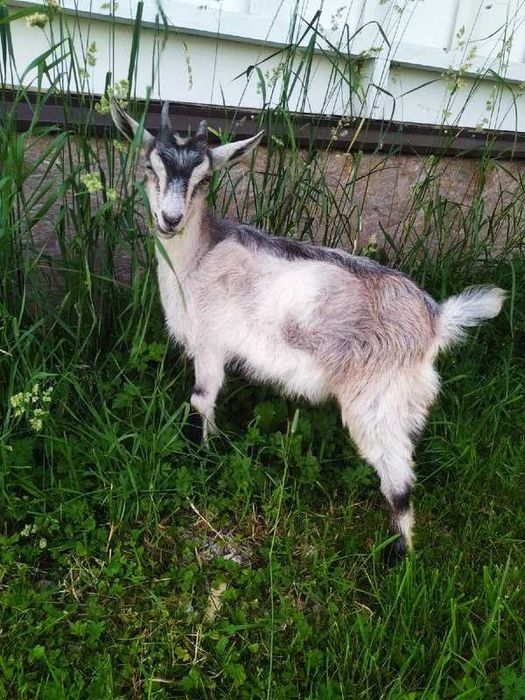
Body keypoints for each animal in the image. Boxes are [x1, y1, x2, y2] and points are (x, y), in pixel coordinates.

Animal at [111, 101, 506, 561]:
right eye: (150, 168)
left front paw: (201, 456)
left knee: (399, 477)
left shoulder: (210, 342)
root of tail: (435, 321)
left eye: (205, 178)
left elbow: (201, 400)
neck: (197, 258)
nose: (170, 220)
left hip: (375, 400)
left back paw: (395, 559)